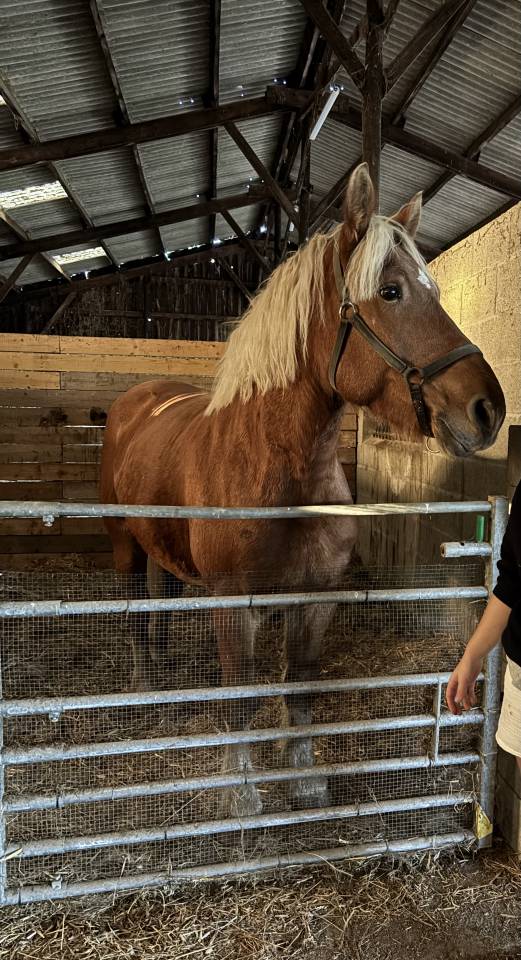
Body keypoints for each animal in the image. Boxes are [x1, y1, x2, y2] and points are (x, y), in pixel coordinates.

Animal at [100, 163, 505, 816]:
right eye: (391, 292)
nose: (488, 410)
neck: (281, 473)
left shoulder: (316, 598)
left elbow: (300, 686)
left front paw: (304, 775)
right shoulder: (234, 603)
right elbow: (241, 693)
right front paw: (241, 791)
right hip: (124, 546)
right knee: (135, 611)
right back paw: (143, 684)